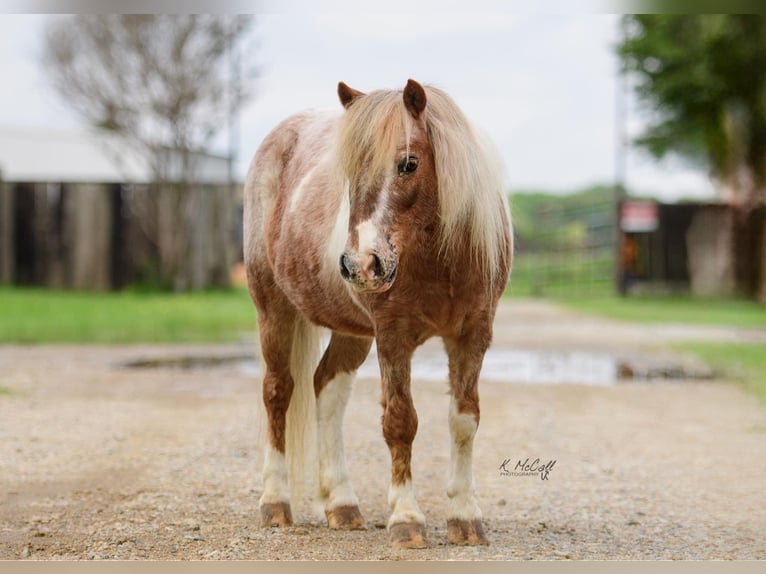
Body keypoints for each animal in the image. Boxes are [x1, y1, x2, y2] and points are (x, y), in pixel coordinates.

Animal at [243, 79, 512, 552]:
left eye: (408, 163)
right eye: (350, 172)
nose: (358, 265)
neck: (439, 258)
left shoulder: (473, 335)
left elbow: (464, 421)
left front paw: (465, 517)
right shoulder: (393, 335)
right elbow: (400, 422)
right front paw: (406, 518)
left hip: (352, 333)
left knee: (327, 388)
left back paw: (341, 504)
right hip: (273, 309)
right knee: (278, 392)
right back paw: (275, 502)